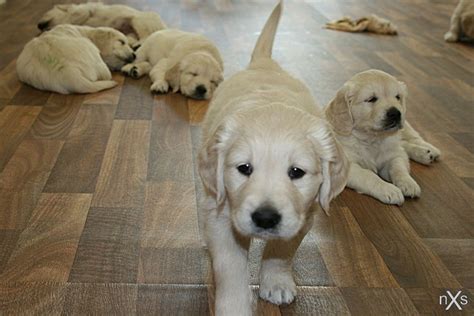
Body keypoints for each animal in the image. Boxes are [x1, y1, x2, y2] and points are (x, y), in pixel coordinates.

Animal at [35, 2, 165, 47]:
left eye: (45, 13)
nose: (38, 26)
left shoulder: (84, 11)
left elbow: (74, 17)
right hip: (131, 31)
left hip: (138, 21)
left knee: (146, 36)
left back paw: (139, 44)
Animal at [196, 1, 348, 314]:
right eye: (244, 168)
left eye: (296, 172)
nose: (265, 218)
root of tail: (264, 64)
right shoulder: (223, 217)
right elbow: (231, 268)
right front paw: (234, 308)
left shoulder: (304, 215)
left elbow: (282, 250)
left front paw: (276, 282)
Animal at [326, 69, 440, 205]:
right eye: (371, 99)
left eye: (397, 97)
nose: (395, 113)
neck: (373, 139)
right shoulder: (345, 167)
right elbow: (369, 176)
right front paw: (389, 190)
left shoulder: (394, 155)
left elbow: (398, 167)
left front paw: (408, 183)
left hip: (405, 126)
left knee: (411, 139)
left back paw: (428, 151)